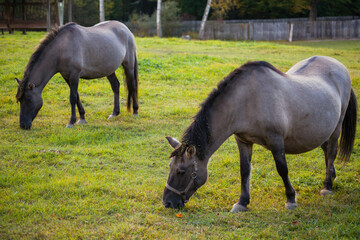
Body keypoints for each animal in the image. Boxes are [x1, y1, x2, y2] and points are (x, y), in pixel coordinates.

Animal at [163, 55, 358, 212]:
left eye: (181, 171)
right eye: (170, 167)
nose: (167, 203)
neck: (247, 100)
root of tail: (339, 66)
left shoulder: (276, 140)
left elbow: (282, 169)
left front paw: (291, 199)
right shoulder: (243, 141)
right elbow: (244, 171)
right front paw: (242, 202)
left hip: (336, 128)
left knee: (331, 152)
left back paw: (327, 186)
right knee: (325, 150)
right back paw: (332, 175)